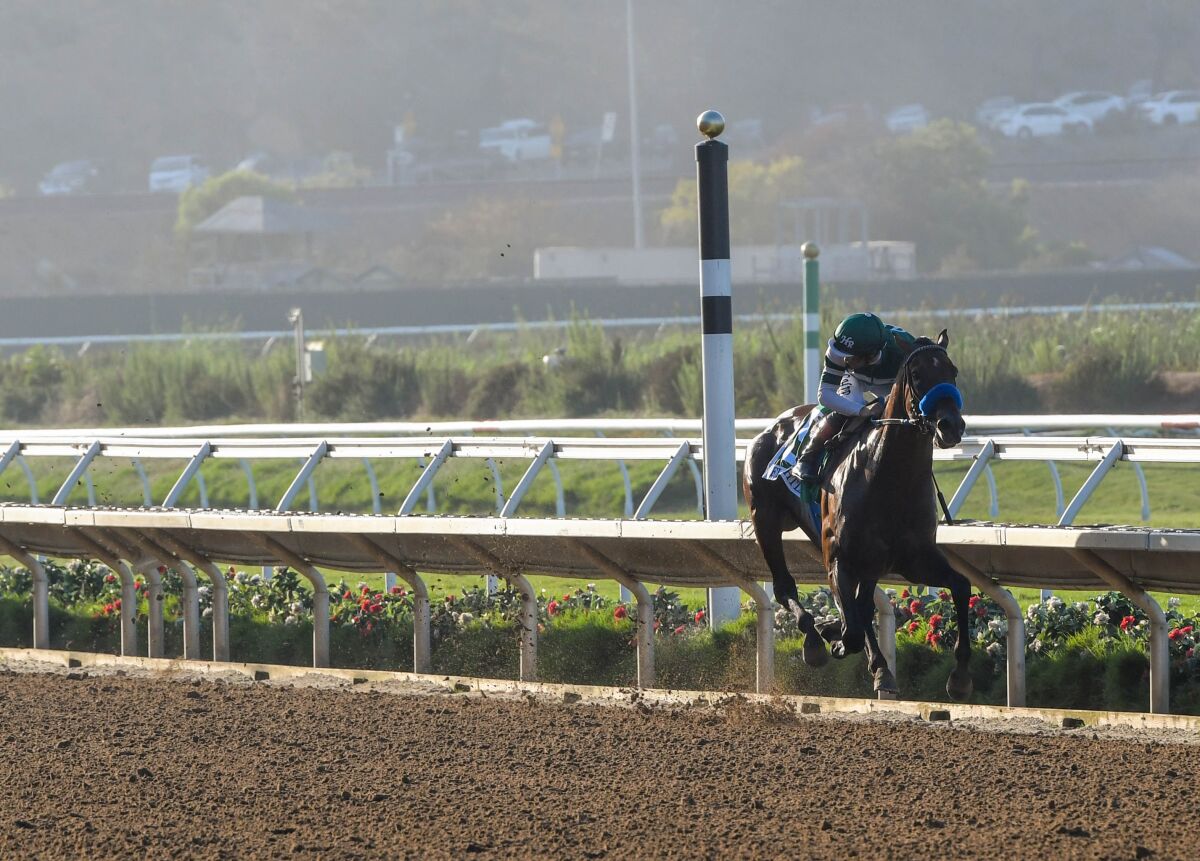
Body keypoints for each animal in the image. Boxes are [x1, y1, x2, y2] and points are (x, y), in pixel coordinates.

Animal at [744, 330, 969, 700]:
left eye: (952, 371)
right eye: (917, 374)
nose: (950, 425)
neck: (890, 479)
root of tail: (769, 428)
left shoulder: (915, 559)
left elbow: (961, 586)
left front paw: (960, 678)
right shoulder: (840, 559)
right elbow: (851, 628)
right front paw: (838, 640)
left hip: (870, 561)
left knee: (861, 606)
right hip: (765, 520)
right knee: (784, 586)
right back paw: (815, 642)